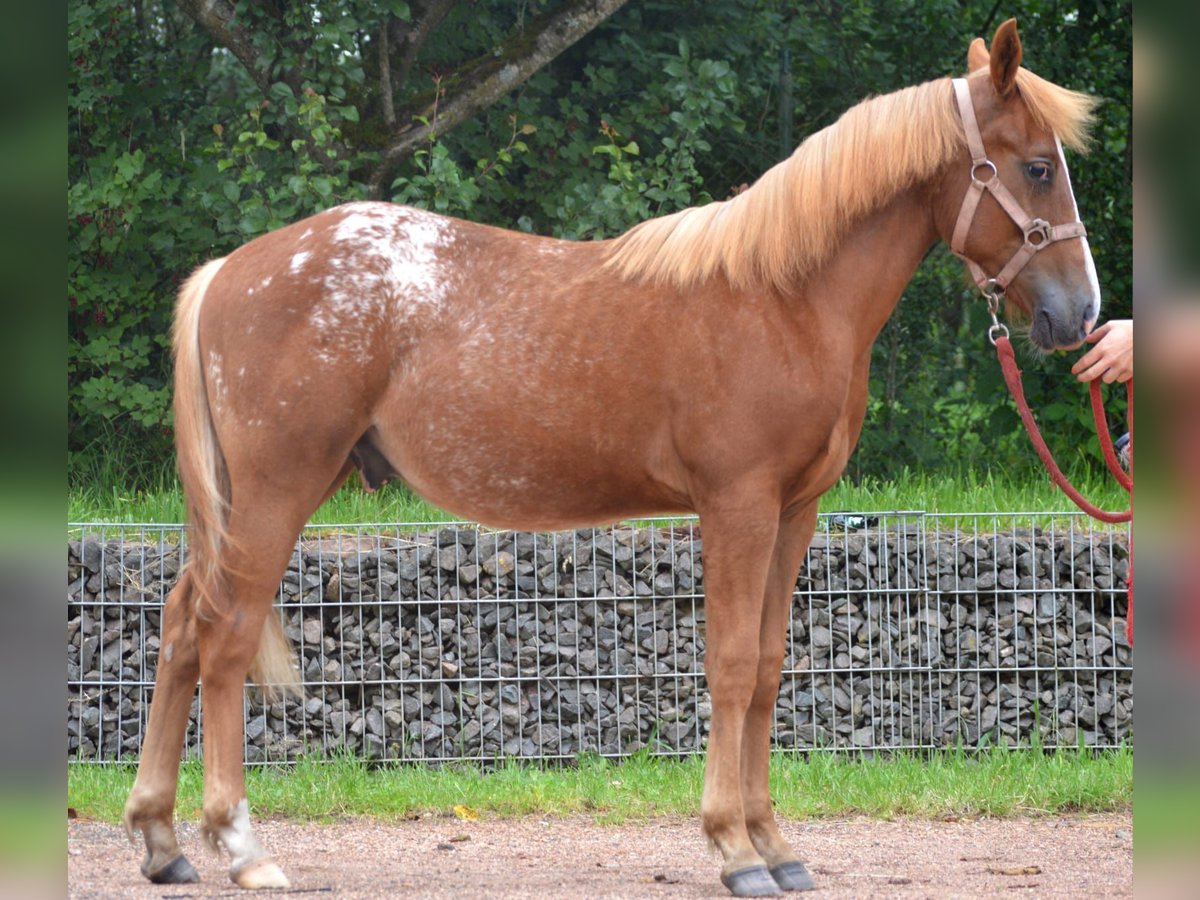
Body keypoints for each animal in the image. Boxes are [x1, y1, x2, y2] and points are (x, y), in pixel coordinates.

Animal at [124, 17, 1104, 897]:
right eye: (1036, 167)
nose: (1081, 315)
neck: (783, 297)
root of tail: (230, 269)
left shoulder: (796, 510)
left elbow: (770, 666)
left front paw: (777, 845)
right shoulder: (737, 505)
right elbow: (732, 664)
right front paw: (734, 849)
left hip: (257, 500)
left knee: (179, 626)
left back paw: (161, 842)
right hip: (275, 493)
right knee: (223, 638)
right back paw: (242, 847)